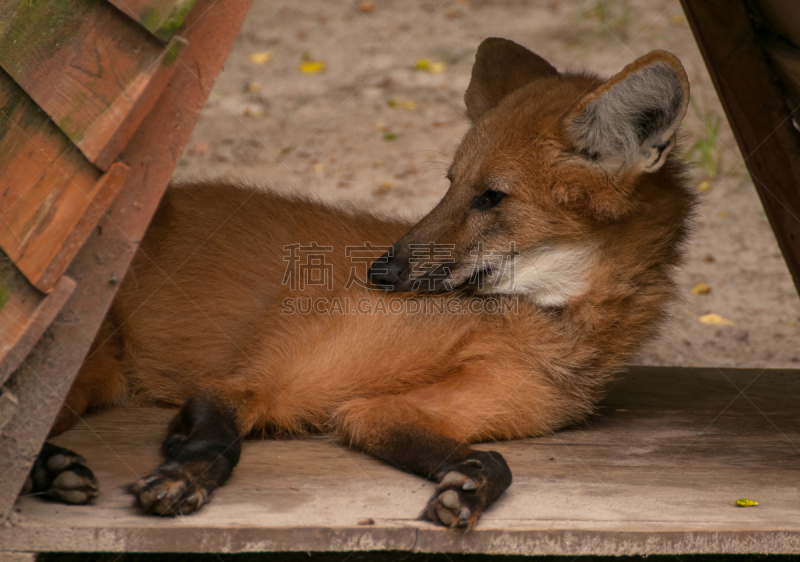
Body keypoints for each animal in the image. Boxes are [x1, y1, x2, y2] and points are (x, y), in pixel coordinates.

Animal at [29, 38, 692, 524]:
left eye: (492, 197)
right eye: (450, 183)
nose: (381, 271)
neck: (517, 318)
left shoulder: (376, 411)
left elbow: (495, 461)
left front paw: (466, 490)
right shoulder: (259, 384)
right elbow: (222, 429)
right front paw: (181, 475)